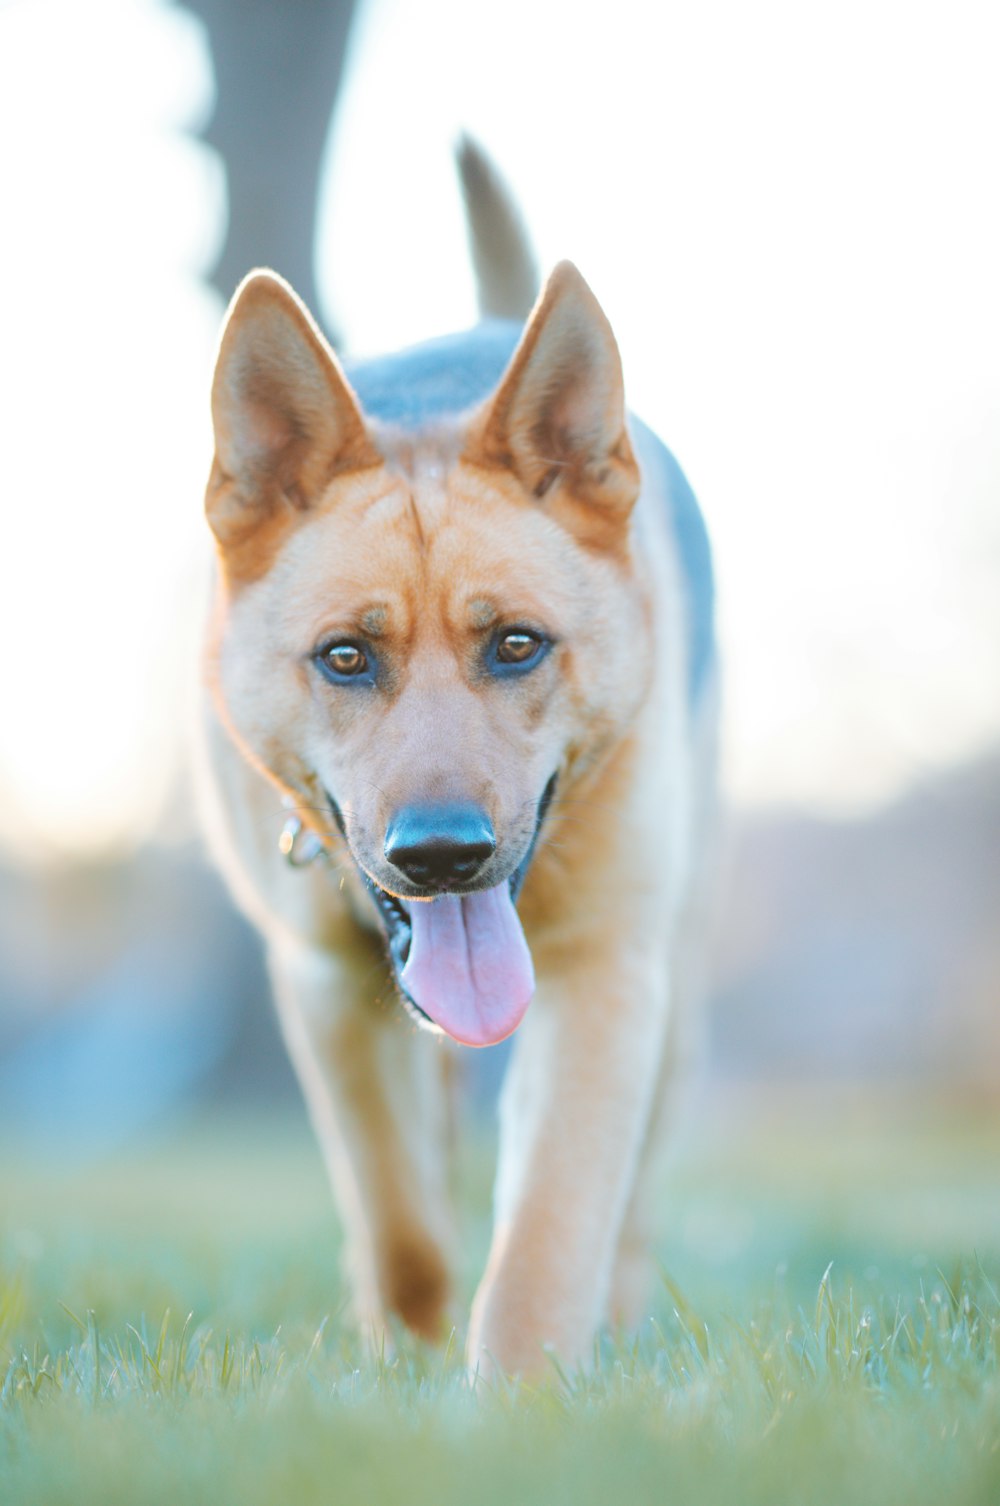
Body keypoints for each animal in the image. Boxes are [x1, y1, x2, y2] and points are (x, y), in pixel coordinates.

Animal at [198, 141, 713, 1379]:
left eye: (515, 644)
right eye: (344, 657)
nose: (441, 856)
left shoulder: (603, 974)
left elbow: (546, 1238)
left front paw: (517, 1396)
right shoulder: (323, 987)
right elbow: (401, 1226)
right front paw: (405, 1363)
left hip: (673, 992)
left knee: (630, 1211)